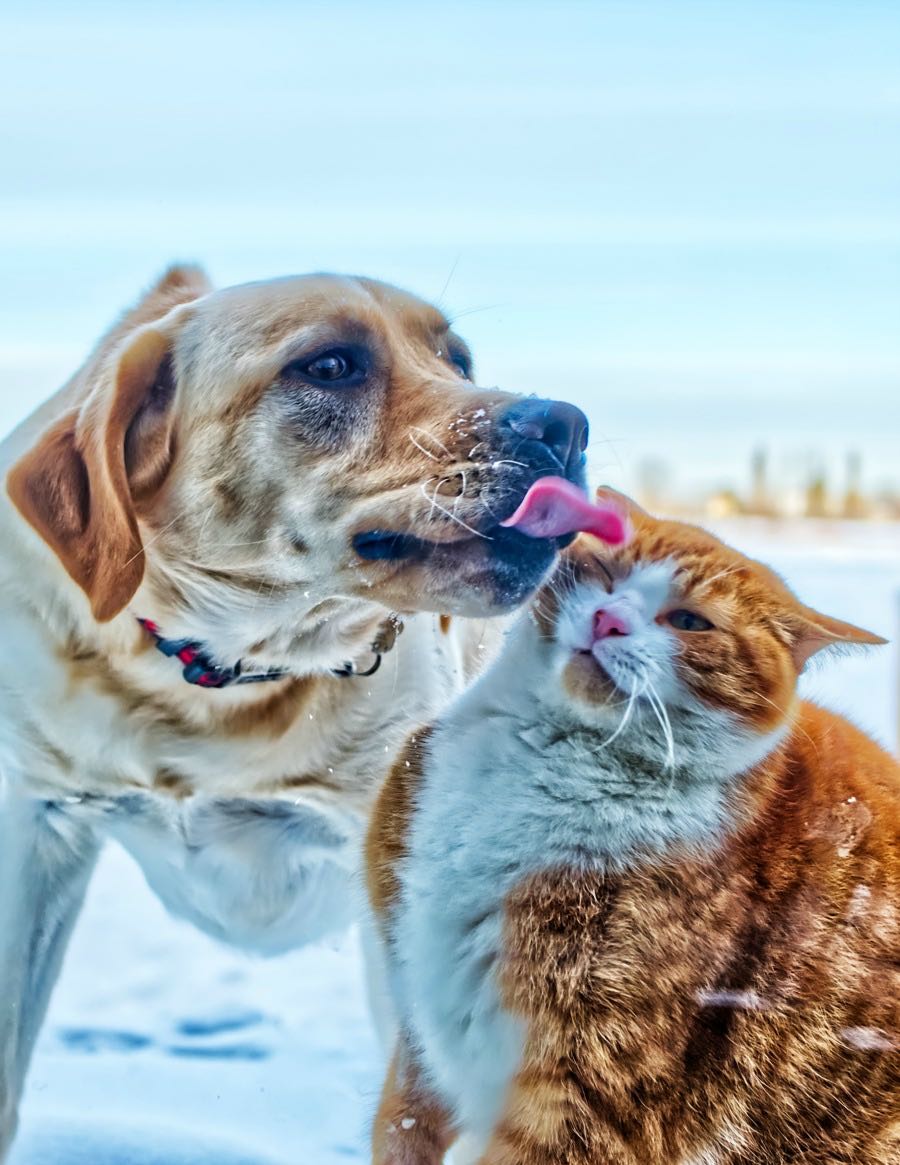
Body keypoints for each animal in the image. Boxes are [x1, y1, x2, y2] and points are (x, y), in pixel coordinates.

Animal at [367, 493, 898, 1165]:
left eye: (690, 621)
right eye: (607, 573)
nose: (609, 620)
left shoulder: (588, 1090)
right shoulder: (418, 1032)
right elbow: (402, 1124)